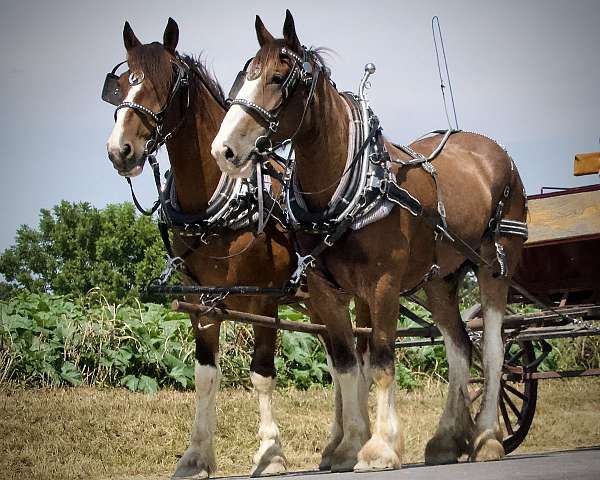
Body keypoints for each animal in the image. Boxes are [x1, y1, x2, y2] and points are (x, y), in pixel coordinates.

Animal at [105, 18, 292, 476]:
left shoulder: (266, 298)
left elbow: (261, 373)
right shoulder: (199, 299)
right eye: (121, 82)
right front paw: (195, 457)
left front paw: (271, 454)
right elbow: (206, 375)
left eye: (167, 83)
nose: (120, 150)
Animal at [211, 10, 524, 472]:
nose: (224, 150)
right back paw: (448, 439)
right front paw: (347, 446)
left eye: (278, 78)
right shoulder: (326, 289)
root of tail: (492, 151)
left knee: (493, 351)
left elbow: (380, 361)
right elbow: (345, 366)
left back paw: (485, 438)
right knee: (458, 348)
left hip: (494, 264)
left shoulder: (382, 285)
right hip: (439, 279)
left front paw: (380, 447)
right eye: (242, 76)